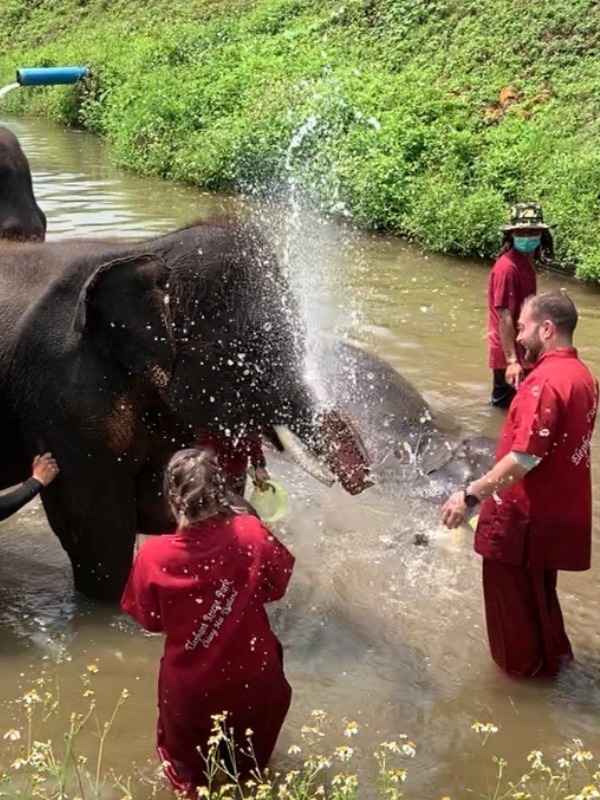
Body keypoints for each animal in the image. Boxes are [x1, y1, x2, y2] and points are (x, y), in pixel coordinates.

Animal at [0, 219, 370, 600]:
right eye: (244, 355)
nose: (365, 480)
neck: (148, 250)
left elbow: (164, 501)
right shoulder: (68, 395)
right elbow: (97, 535)